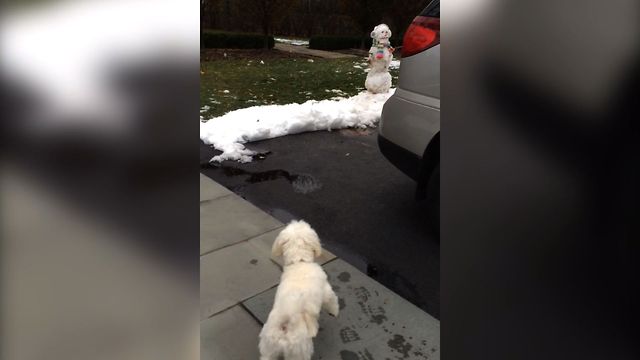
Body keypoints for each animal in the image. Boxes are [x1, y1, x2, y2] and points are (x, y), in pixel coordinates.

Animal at [258, 219, 340, 360]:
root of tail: (285, 324)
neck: (299, 261)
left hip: (269, 348)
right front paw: (334, 312)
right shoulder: (326, 290)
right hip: (300, 351)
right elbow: (331, 300)